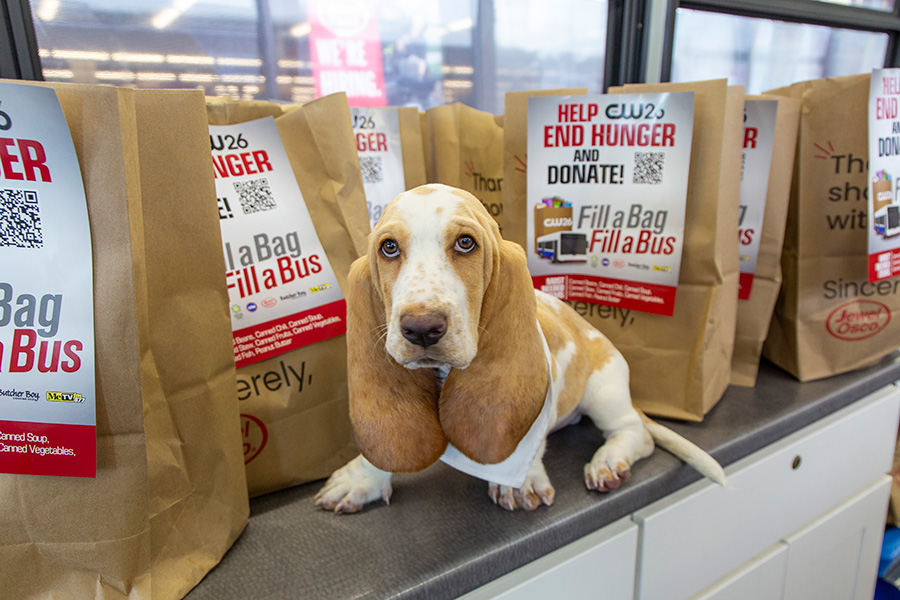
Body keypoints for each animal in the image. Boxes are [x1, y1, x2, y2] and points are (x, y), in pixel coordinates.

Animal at [316, 185, 724, 512]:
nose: (421, 329)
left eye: (466, 242)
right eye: (389, 247)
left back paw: (608, 462)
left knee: (635, 433)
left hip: (603, 392)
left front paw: (520, 481)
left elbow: (530, 446)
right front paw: (361, 481)